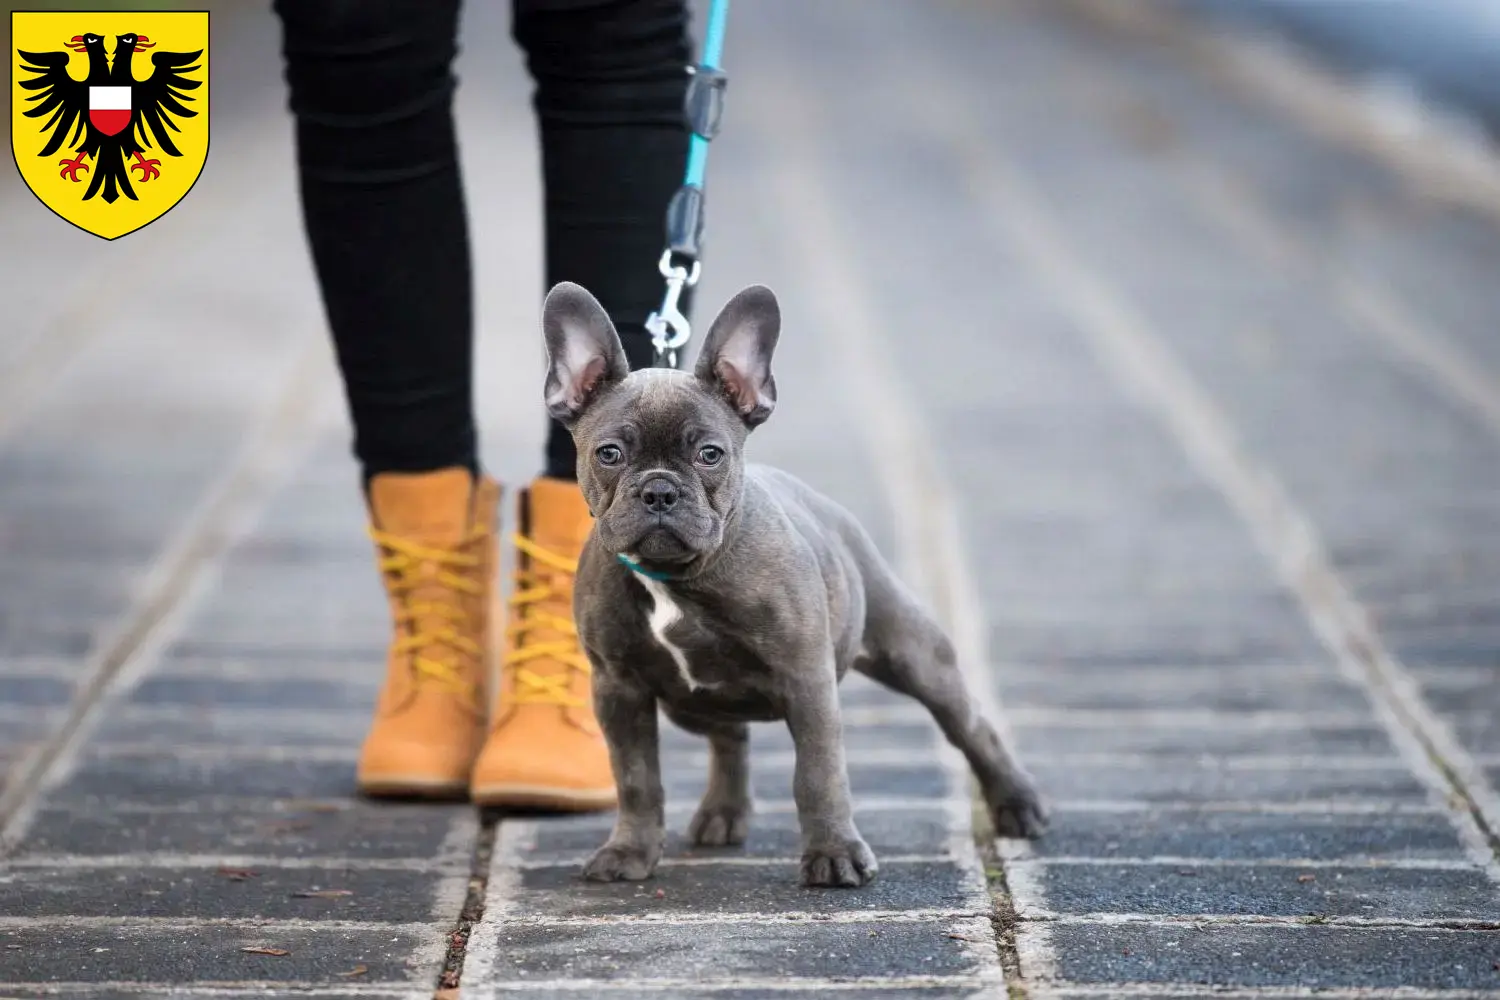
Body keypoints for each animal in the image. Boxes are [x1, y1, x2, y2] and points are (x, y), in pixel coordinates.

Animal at [546, 277, 1050, 887]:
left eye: (710, 454)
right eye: (610, 454)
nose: (660, 490)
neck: (678, 577)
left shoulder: (807, 680)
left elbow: (817, 773)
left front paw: (834, 854)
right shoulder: (619, 690)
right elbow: (637, 777)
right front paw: (629, 852)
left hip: (916, 656)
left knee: (970, 726)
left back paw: (1018, 804)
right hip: (688, 705)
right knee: (729, 736)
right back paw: (723, 813)